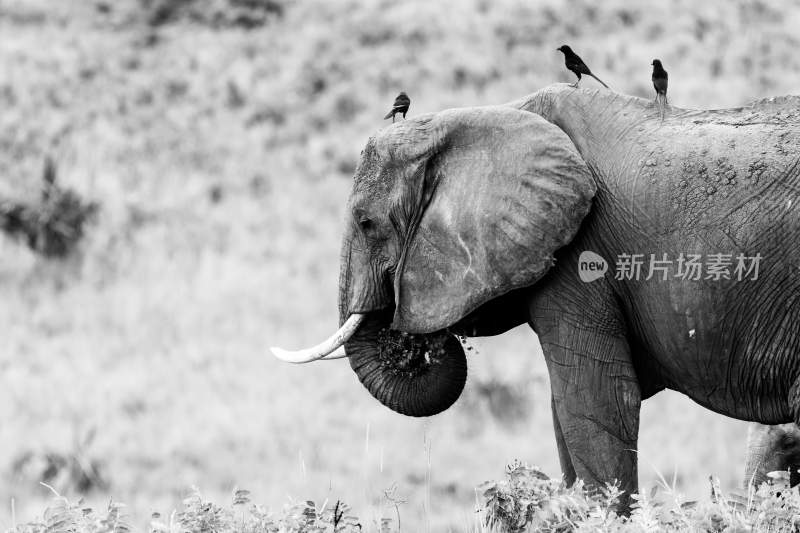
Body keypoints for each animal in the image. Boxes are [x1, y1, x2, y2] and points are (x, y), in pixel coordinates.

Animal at [274, 83, 800, 508]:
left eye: (366, 223)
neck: (490, 116)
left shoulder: (581, 257)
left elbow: (593, 401)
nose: (408, 339)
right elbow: (563, 412)